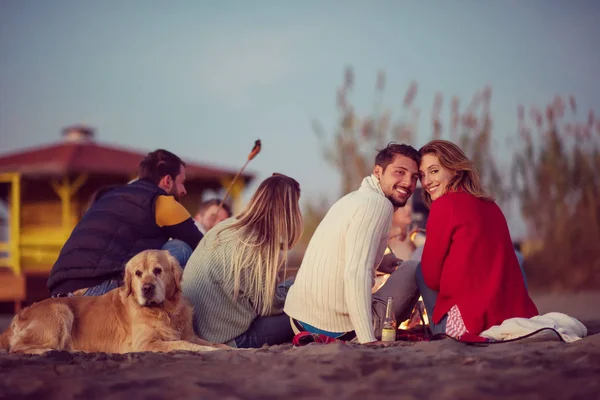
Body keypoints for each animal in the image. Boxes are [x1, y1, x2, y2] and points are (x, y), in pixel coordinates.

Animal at [0, 248, 230, 354]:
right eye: (138, 273)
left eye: (158, 270)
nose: (147, 288)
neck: (165, 311)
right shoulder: (145, 343)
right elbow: (183, 344)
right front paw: (210, 351)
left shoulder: (190, 334)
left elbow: (213, 343)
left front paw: (230, 350)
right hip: (61, 310)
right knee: (17, 348)